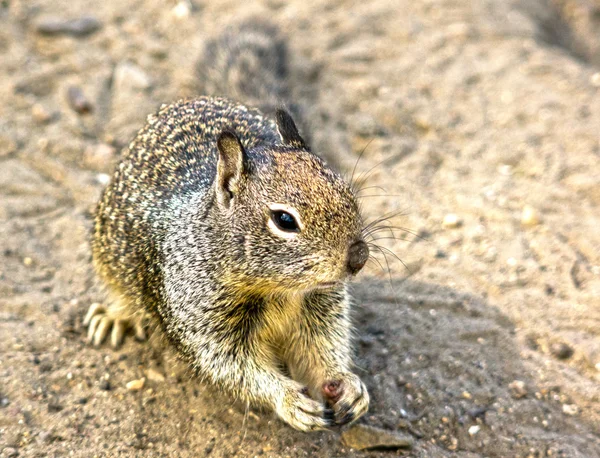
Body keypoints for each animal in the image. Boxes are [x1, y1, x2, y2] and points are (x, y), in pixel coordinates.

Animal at [84, 21, 370, 432]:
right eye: (285, 220)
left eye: (345, 187)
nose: (359, 257)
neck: (278, 291)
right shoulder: (202, 323)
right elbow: (233, 368)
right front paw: (288, 401)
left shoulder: (319, 305)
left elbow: (323, 345)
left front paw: (348, 385)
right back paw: (112, 316)